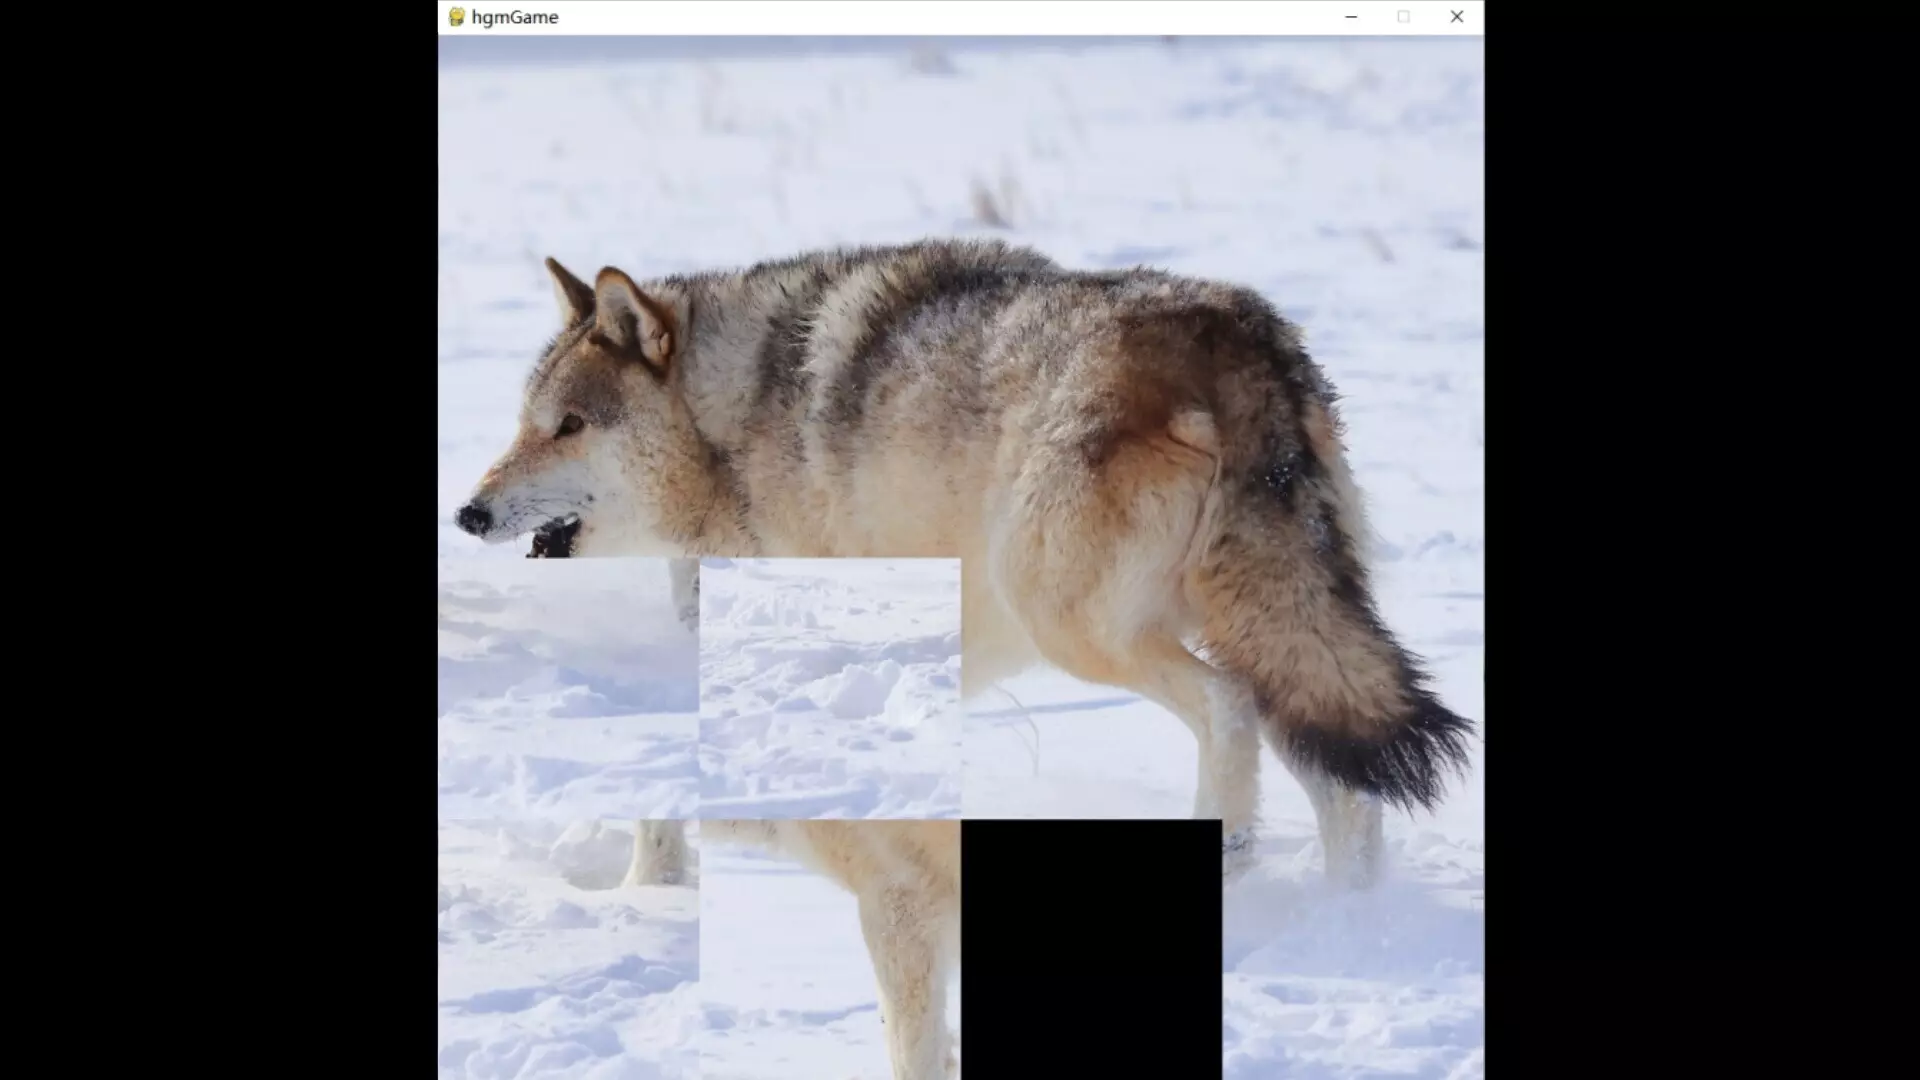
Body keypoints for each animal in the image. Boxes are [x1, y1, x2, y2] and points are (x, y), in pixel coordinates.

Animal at [454, 238, 1475, 887]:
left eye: (566, 427)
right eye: (523, 424)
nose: (468, 512)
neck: (730, 427)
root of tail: (1237, 338)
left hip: (1080, 626)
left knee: (1229, 714)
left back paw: (1233, 864)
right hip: (1268, 640)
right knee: (1341, 784)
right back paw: (1353, 918)